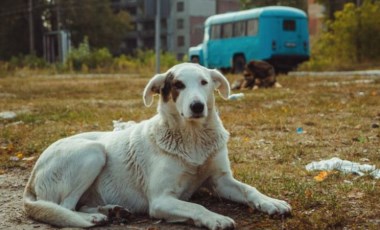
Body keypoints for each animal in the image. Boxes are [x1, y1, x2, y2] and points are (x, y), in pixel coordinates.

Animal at [23, 62, 290, 228]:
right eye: (178, 85)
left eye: (204, 82)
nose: (197, 106)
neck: (192, 138)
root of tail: (32, 175)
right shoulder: (161, 200)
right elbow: (196, 207)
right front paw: (215, 218)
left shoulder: (221, 180)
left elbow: (249, 190)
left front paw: (271, 202)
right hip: (93, 152)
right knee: (63, 206)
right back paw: (93, 219)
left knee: (80, 204)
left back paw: (111, 211)